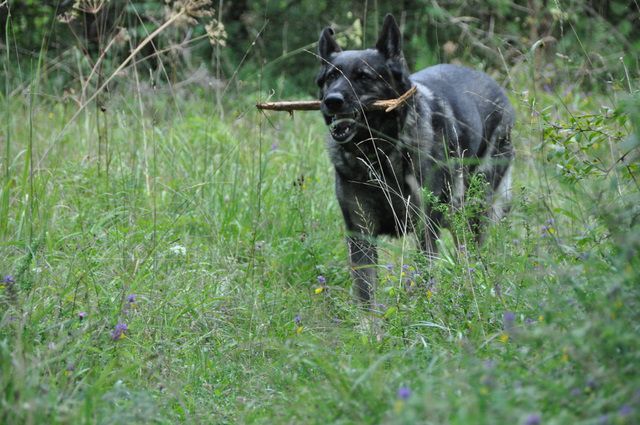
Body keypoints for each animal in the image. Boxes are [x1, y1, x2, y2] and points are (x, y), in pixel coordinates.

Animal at [316, 14, 516, 304]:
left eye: (362, 76)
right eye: (331, 76)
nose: (332, 101)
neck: (379, 154)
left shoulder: (425, 228)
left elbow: (423, 278)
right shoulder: (360, 234)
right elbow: (366, 296)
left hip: (472, 213)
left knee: (470, 257)